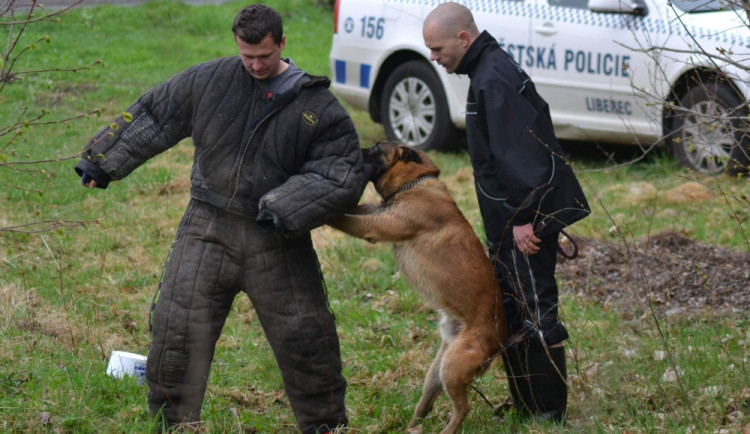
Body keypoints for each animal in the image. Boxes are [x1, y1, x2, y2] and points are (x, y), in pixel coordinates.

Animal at [330, 141, 512, 432]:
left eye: (377, 148)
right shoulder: (375, 212)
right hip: (436, 373)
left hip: (451, 368)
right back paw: (411, 427)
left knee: (463, 409)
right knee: (425, 405)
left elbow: (343, 218)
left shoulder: (376, 224)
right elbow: (355, 210)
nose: (358, 149)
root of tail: (501, 339)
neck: (416, 183)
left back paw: (447, 430)